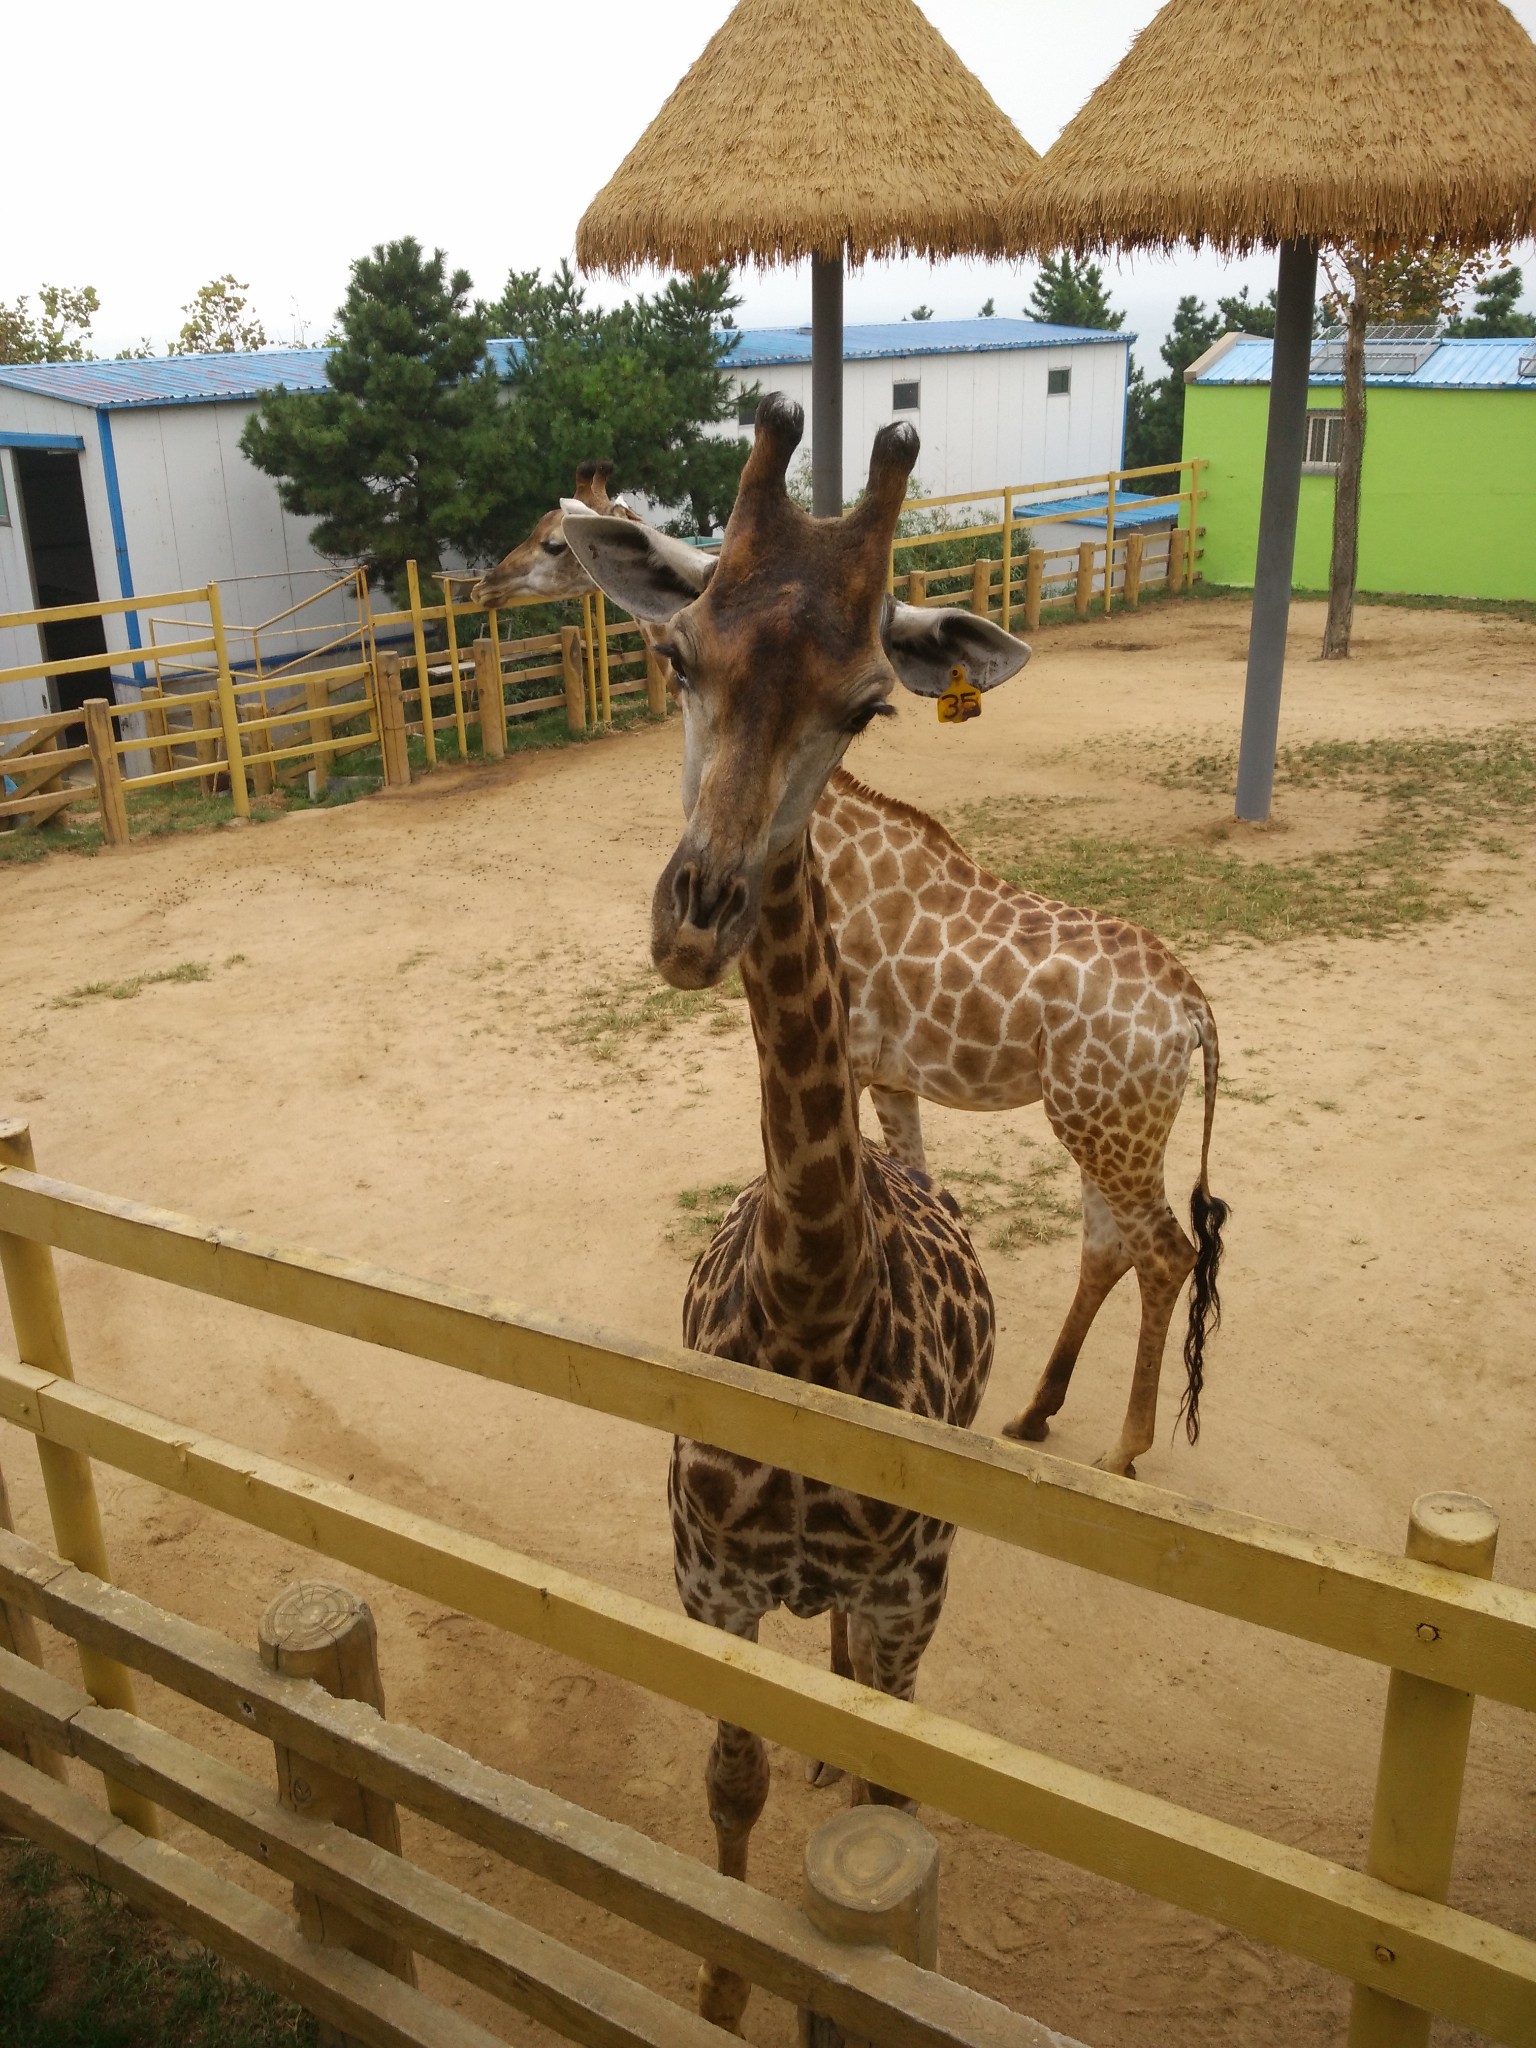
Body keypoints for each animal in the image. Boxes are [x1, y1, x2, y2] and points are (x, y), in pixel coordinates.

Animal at [561, 399, 1028, 2031]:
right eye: (674, 657)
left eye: (871, 707)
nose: (693, 918)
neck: (820, 1306)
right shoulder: (709, 1582)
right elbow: (732, 1782)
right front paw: (714, 1994)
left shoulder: (907, 1599)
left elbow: (881, 1819)